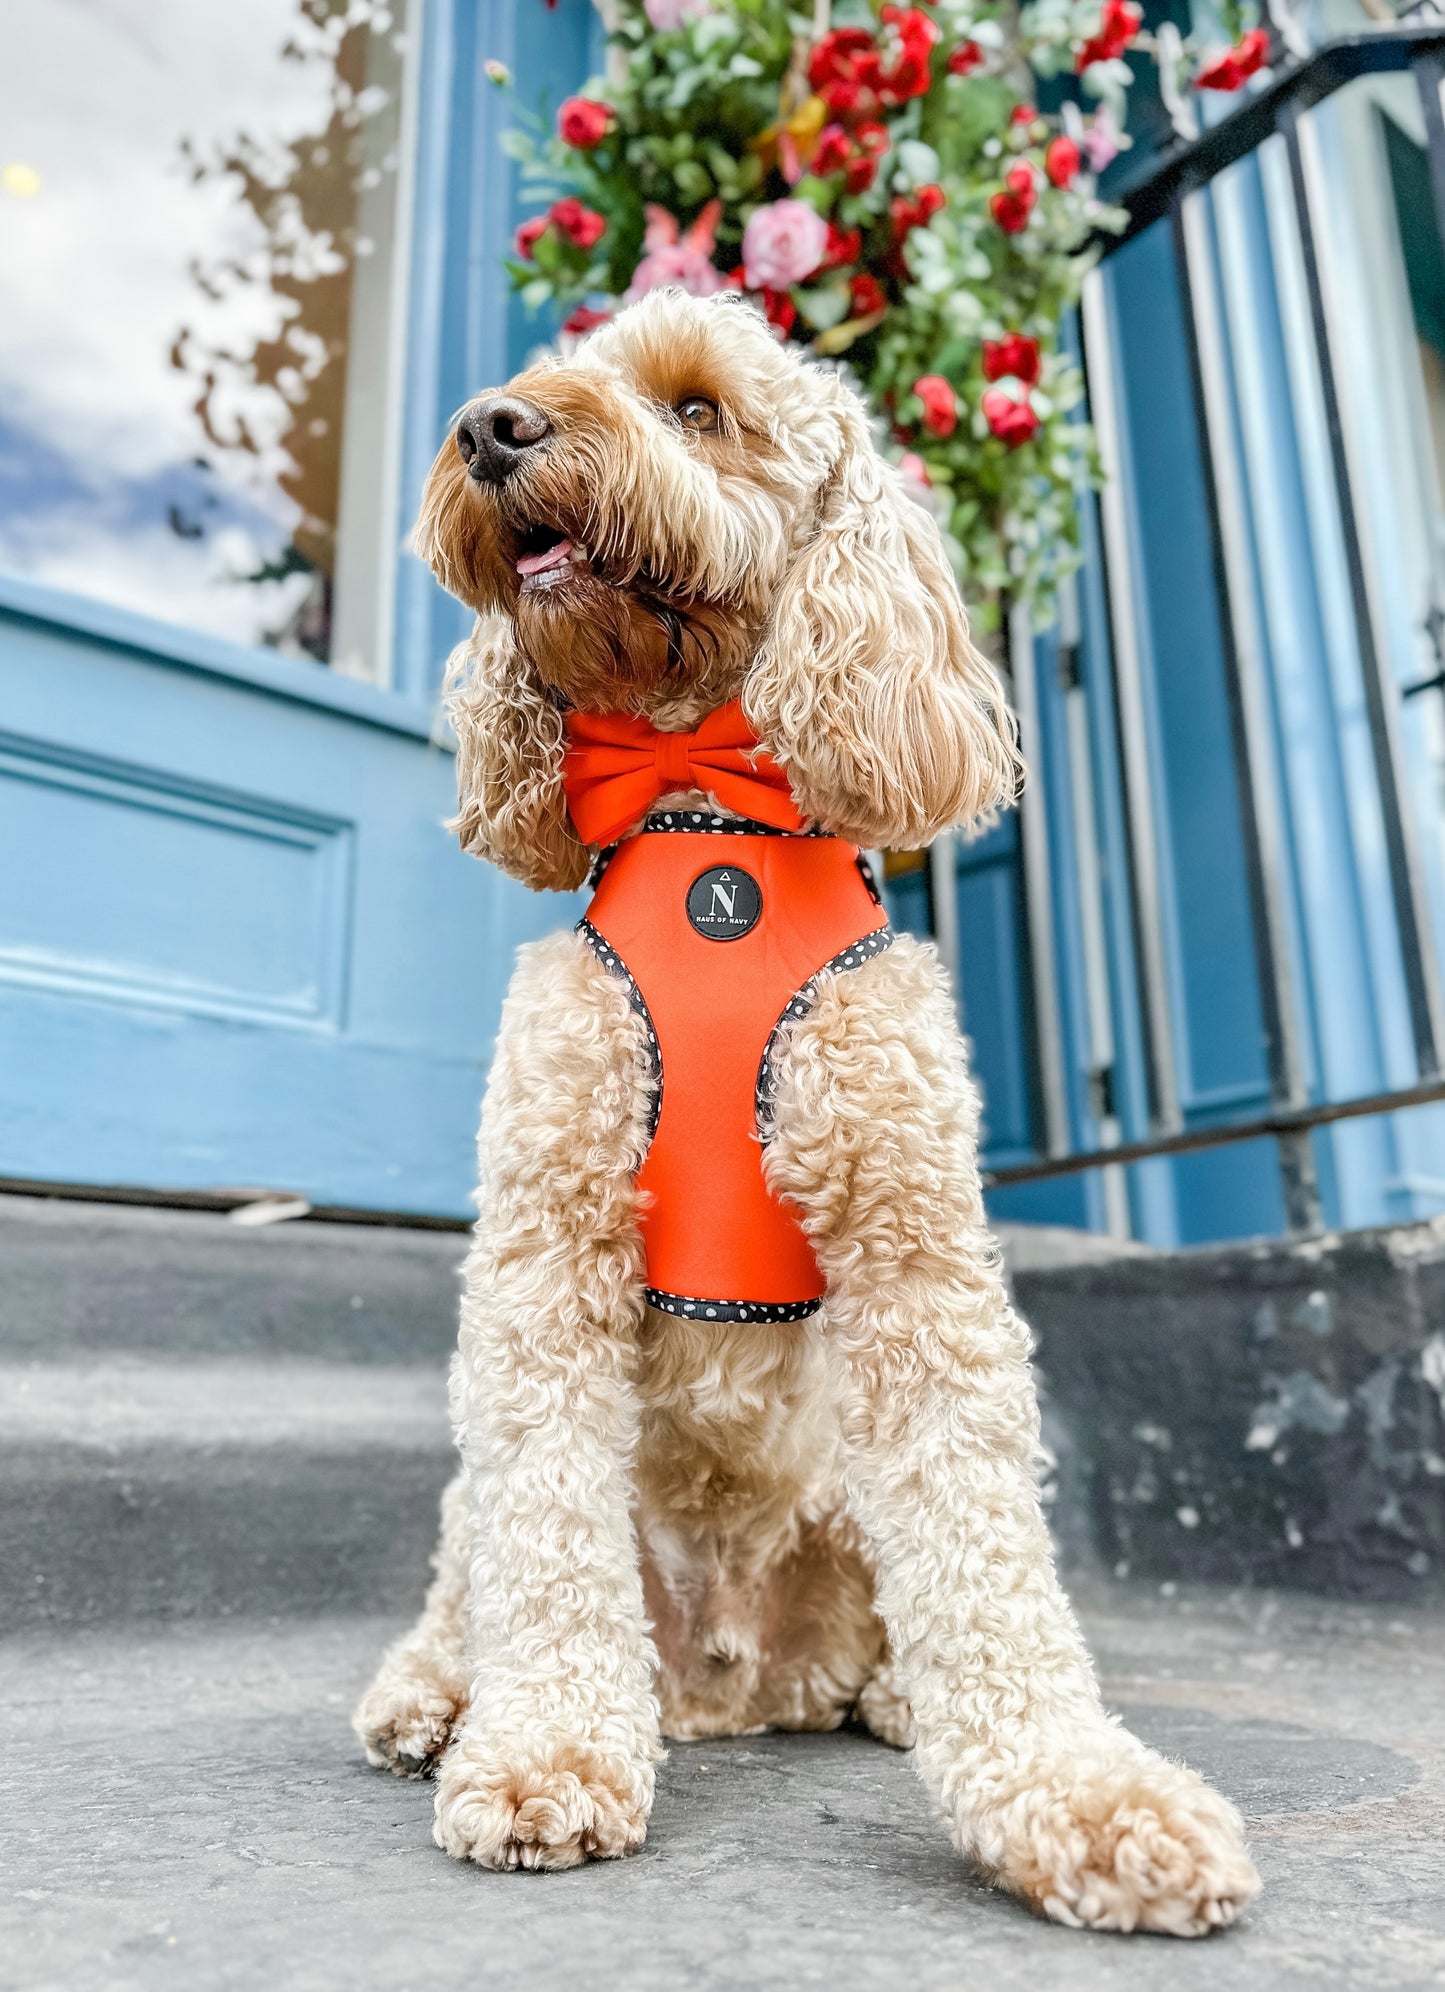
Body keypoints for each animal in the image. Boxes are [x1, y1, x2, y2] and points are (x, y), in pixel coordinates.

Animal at [354, 280, 1259, 1928]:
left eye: (697, 407)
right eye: (555, 373)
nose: (492, 426)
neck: (699, 802)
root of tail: (732, 1683)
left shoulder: (918, 1255)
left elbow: (984, 1552)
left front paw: (1080, 1796)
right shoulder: (541, 1253)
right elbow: (546, 1544)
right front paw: (541, 1754)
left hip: (843, 1499)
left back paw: (892, 1693)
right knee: (476, 1567)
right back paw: (438, 1694)